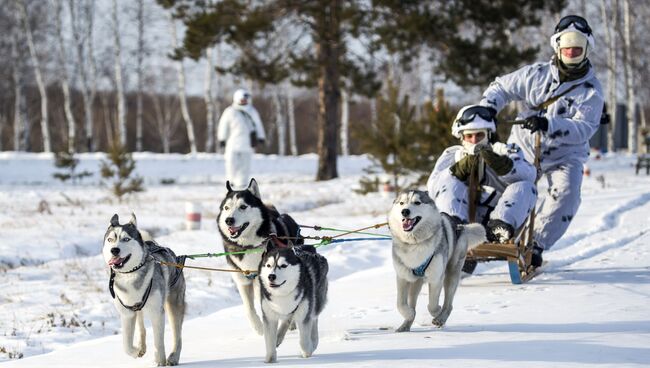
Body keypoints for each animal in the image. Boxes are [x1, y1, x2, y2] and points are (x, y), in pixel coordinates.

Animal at [101, 213, 186, 366]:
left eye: (126, 239)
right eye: (110, 239)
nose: (114, 250)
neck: (130, 275)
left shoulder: (157, 312)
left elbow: (159, 342)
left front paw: (160, 361)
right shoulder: (127, 314)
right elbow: (126, 345)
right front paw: (135, 352)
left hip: (173, 305)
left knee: (177, 335)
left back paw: (173, 357)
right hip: (139, 310)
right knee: (141, 327)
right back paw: (141, 346)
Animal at [215, 179, 302, 336]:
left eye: (243, 206)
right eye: (226, 207)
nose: (228, 220)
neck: (248, 246)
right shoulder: (242, 282)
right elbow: (249, 309)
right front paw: (259, 328)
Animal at [388, 190, 484, 330]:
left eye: (417, 202)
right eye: (401, 203)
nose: (404, 211)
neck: (415, 243)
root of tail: (460, 226)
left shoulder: (436, 278)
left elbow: (432, 305)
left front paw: (438, 313)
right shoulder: (402, 277)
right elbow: (400, 304)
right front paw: (409, 314)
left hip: (451, 274)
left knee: (448, 304)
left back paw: (441, 317)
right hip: (416, 282)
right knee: (412, 301)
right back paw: (406, 325)